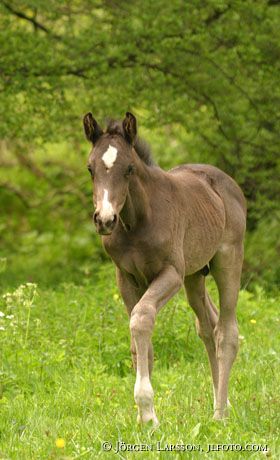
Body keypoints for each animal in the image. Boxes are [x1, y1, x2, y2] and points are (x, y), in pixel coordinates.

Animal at [82, 109, 245, 426]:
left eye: (129, 168)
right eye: (90, 168)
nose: (105, 219)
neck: (136, 222)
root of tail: (228, 183)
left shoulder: (171, 273)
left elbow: (141, 319)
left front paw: (147, 413)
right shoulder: (126, 277)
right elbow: (139, 342)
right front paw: (143, 416)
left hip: (227, 260)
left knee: (227, 332)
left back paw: (220, 415)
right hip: (195, 275)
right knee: (208, 327)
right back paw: (224, 402)